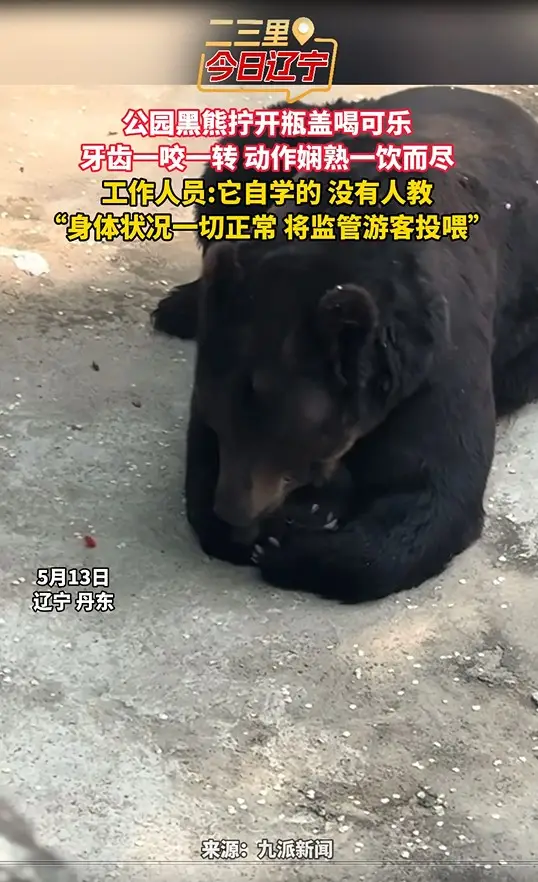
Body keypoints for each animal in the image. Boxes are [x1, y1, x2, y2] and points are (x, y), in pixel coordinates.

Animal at [152, 86, 538, 603]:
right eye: (219, 421)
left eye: (290, 438)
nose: (234, 511)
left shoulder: (438, 361)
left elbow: (432, 489)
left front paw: (287, 546)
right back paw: (178, 305)